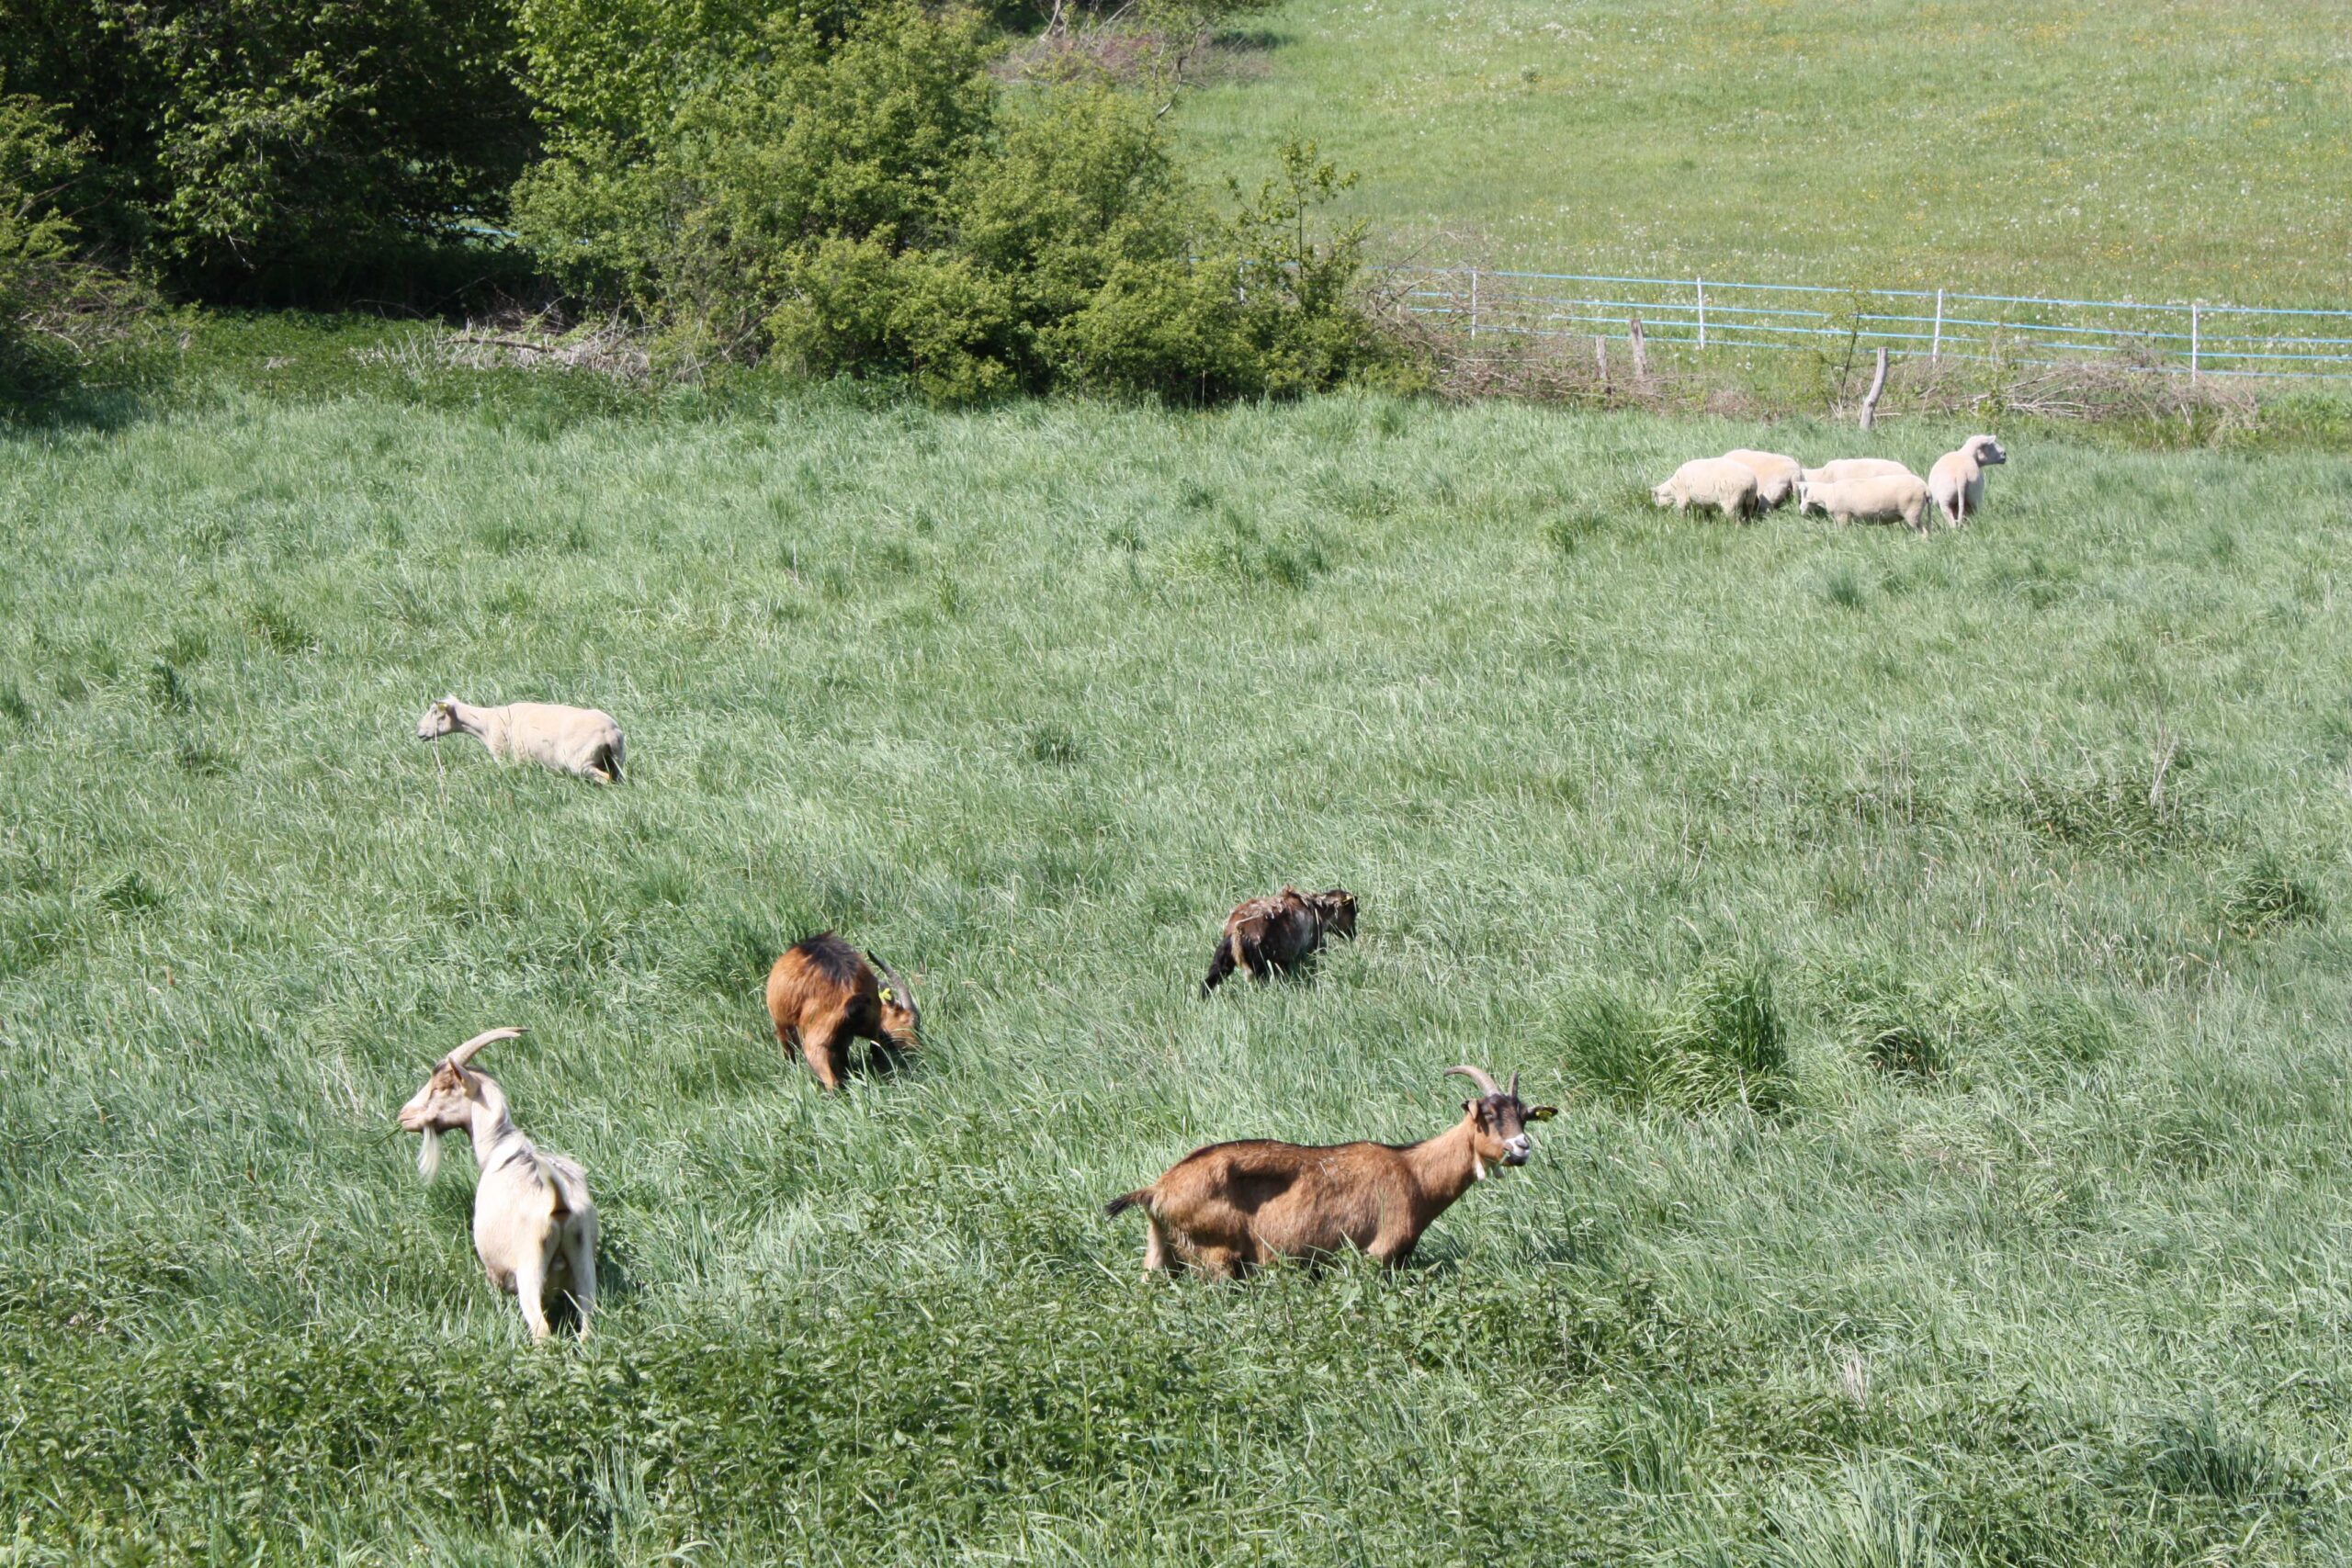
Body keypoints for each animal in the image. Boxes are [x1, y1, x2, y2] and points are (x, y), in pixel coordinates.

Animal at [396, 1027, 596, 1343]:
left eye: (442, 1087)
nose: (404, 1115)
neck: (498, 1148)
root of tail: (559, 1203)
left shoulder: (494, 1267)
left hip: (530, 1266)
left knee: (541, 1328)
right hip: (584, 1257)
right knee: (588, 1321)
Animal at [416, 696, 625, 784]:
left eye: (435, 712)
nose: (419, 731)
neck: (486, 723)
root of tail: (609, 732)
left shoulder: (506, 759)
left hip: (581, 761)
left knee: (605, 779)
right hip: (615, 759)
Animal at [1103, 1065, 1557, 1278]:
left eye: (1524, 1117)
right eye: (1486, 1117)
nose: (1522, 1148)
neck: (1414, 1172)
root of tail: (1156, 1190)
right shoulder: (1377, 1254)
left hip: (1161, 1255)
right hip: (1214, 1256)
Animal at [1200, 886, 1358, 997]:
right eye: (1353, 911)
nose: (1353, 935)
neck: (1319, 910)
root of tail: (1236, 932)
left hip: (1224, 958)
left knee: (1210, 979)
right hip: (1260, 964)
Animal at [1797, 471, 1933, 531]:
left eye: (1803, 493)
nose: (1800, 510)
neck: (1826, 493)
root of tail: (1925, 488)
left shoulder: (1842, 515)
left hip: (1912, 510)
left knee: (1923, 532)